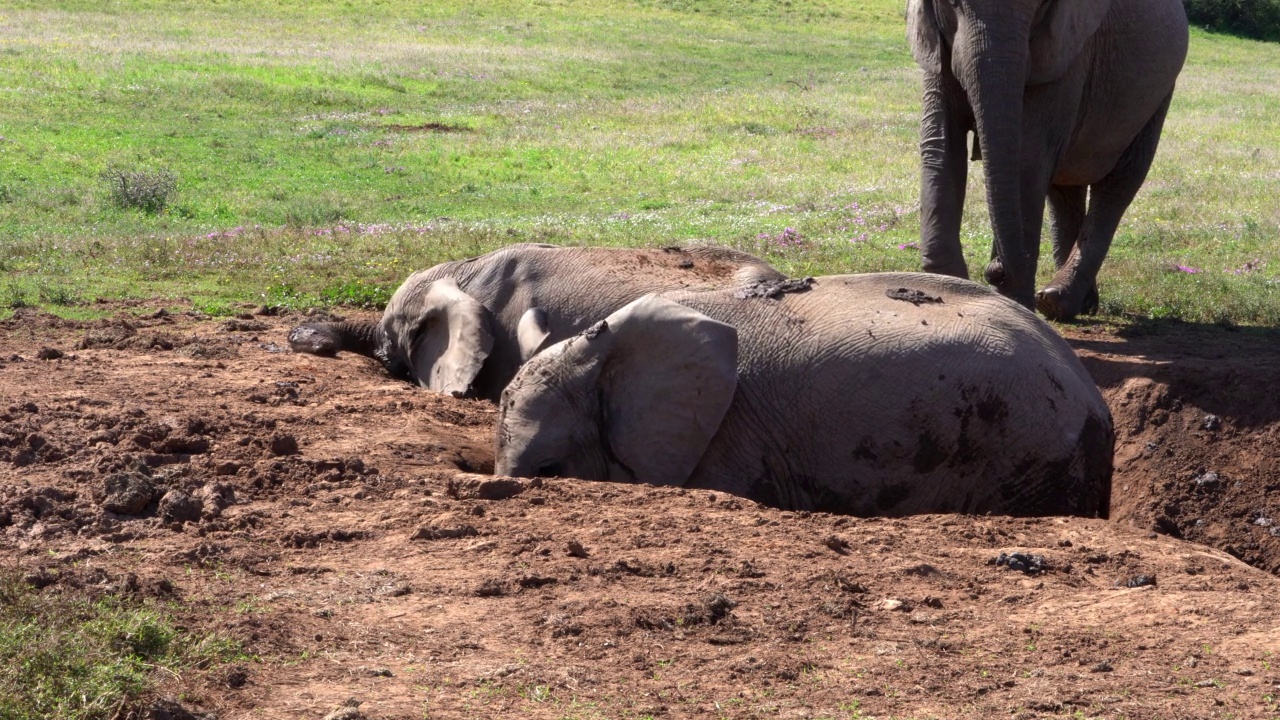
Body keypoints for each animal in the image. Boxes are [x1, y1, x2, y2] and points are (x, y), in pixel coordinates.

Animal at [911, 0, 1187, 319]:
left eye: (1041, 6)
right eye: (951, 3)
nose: (995, 271)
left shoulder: (1067, 54)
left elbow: (1028, 158)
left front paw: (1014, 306)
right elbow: (940, 143)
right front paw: (950, 288)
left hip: (1158, 96)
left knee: (1119, 184)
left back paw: (1056, 301)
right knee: (1064, 190)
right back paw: (1076, 305)